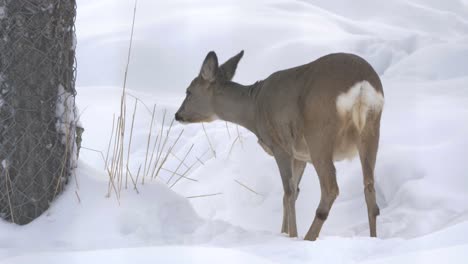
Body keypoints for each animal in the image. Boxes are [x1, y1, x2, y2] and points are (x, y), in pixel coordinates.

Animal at [175, 50, 384, 240]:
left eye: (188, 91)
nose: (178, 115)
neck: (254, 109)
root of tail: (361, 85)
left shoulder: (280, 146)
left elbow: (289, 192)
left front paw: (291, 236)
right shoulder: (300, 155)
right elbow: (293, 193)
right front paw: (284, 233)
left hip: (319, 133)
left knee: (330, 188)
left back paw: (308, 238)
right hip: (371, 131)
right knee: (370, 190)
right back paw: (373, 238)